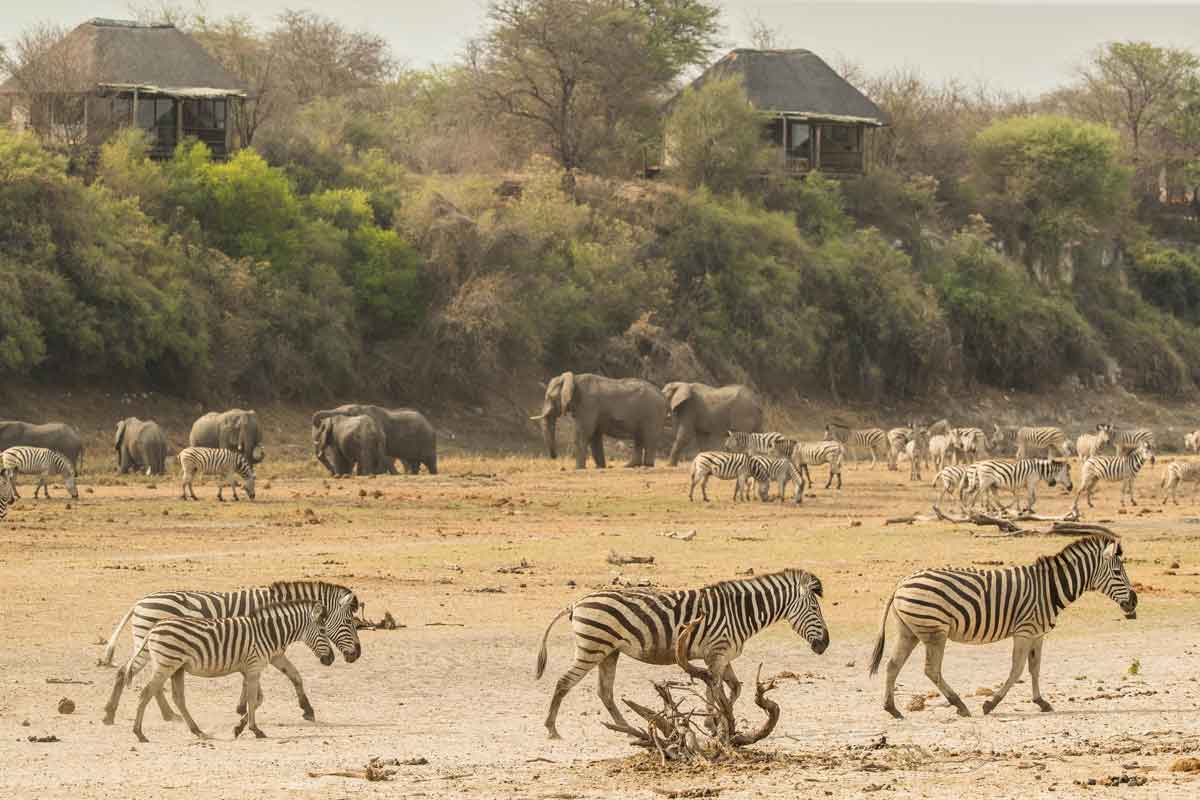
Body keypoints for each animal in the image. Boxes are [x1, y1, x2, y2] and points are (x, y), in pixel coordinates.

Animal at [99, 582, 360, 724]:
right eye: (349, 622)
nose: (356, 655)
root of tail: (140, 601)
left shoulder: (269, 651)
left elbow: (294, 676)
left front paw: (306, 709)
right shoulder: (260, 646)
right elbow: (265, 679)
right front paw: (245, 708)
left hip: (150, 645)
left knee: (130, 672)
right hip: (151, 642)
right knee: (131, 672)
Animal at [105, 599, 336, 743]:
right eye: (323, 630)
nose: (331, 659)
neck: (267, 632)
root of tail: (154, 627)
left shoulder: (249, 668)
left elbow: (257, 699)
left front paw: (239, 727)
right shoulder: (254, 667)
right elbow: (253, 699)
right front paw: (255, 729)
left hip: (177, 667)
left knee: (178, 698)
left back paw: (197, 731)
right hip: (166, 664)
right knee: (146, 693)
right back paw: (139, 733)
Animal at [532, 371, 667, 470]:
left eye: (550, 398)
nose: (554, 456)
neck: (574, 378)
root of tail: (662, 395)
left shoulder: (588, 405)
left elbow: (583, 433)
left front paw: (578, 469)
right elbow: (594, 436)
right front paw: (600, 467)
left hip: (652, 413)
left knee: (648, 437)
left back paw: (647, 465)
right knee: (639, 437)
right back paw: (630, 466)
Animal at [535, 568, 825, 738]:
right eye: (815, 610)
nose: (825, 645)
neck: (740, 612)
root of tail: (577, 602)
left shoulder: (723, 655)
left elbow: (733, 689)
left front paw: (715, 721)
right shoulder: (716, 654)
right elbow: (715, 691)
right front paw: (714, 722)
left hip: (608, 652)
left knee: (604, 692)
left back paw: (627, 728)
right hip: (592, 647)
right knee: (564, 682)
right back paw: (551, 729)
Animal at [868, 537, 1137, 719]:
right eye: (1117, 572)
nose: (1135, 602)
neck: (1050, 588)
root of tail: (901, 583)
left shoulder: (1038, 634)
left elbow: (1035, 669)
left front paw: (1041, 701)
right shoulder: (1025, 631)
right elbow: (1017, 670)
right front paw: (991, 704)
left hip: (910, 631)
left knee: (893, 665)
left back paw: (892, 709)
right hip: (935, 632)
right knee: (931, 670)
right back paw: (959, 705)